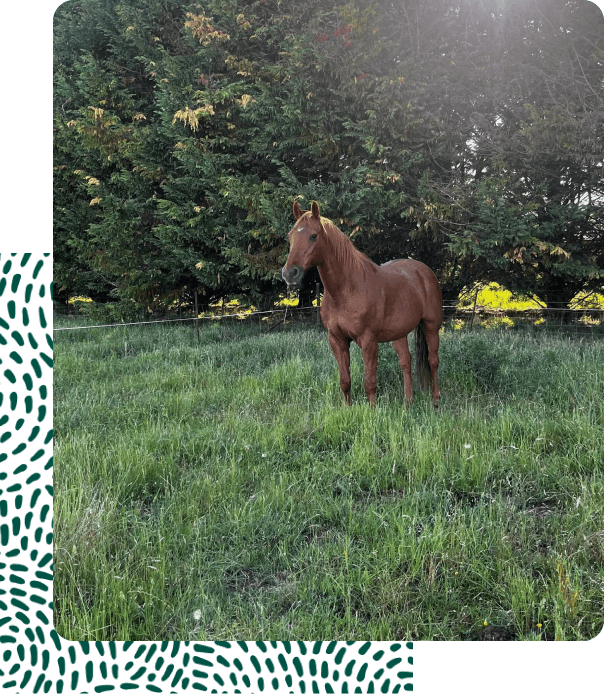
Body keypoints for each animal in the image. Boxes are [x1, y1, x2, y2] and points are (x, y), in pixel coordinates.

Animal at [280, 200, 442, 408]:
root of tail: (424, 271)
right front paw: (347, 409)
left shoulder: (368, 341)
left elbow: (369, 382)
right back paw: (408, 402)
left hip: (431, 326)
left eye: (313, 236)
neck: (346, 290)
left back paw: (435, 400)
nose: (289, 274)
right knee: (406, 361)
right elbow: (345, 380)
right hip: (399, 333)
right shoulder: (337, 340)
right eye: (290, 236)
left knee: (433, 361)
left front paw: (372, 412)